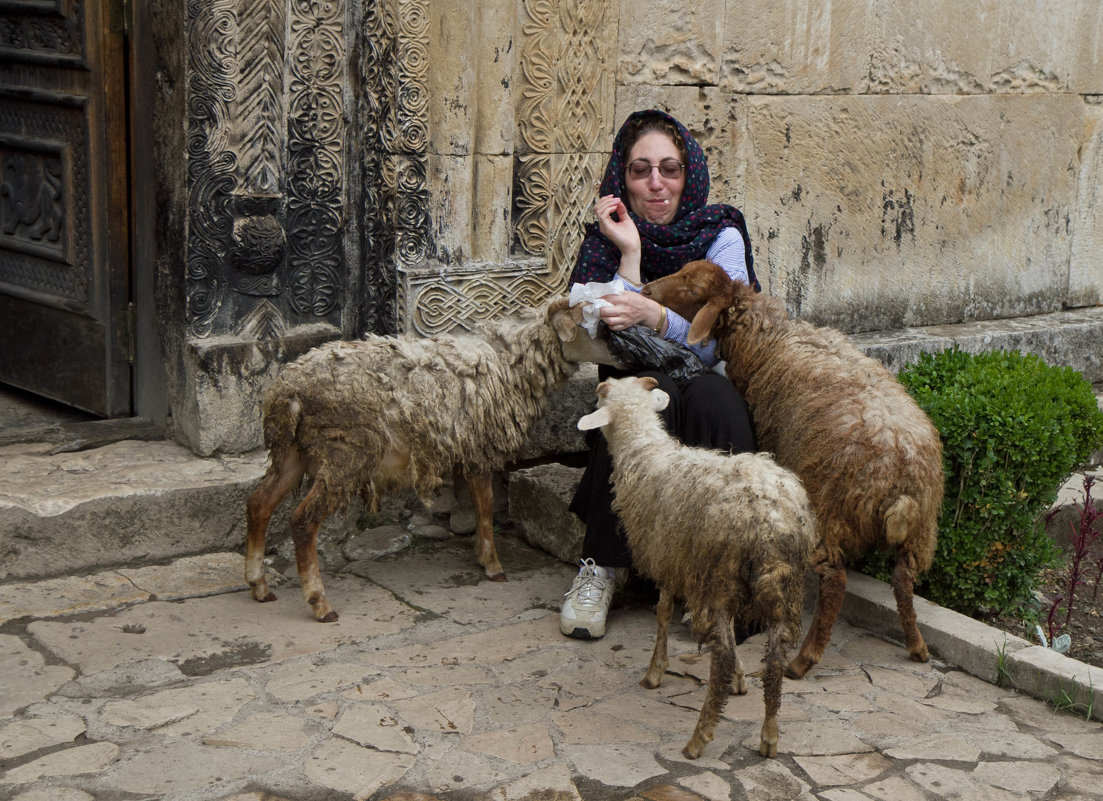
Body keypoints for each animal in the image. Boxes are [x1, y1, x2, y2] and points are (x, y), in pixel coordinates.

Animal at [243, 297, 622, 622]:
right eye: (594, 324)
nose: (625, 353)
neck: (507, 360)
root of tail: (288, 392)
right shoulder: (480, 447)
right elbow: (485, 505)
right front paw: (493, 565)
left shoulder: (469, 448)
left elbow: (478, 505)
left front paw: (481, 555)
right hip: (344, 453)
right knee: (303, 521)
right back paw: (320, 603)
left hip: (296, 452)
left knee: (259, 503)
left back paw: (259, 585)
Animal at [577, 377, 820, 759]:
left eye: (603, 395)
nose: (605, 381)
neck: (645, 453)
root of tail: (769, 520)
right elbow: (732, 633)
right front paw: (741, 680)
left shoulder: (669, 557)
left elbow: (663, 612)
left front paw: (655, 672)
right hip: (783, 585)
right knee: (774, 659)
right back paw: (769, 735)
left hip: (718, 575)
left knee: (721, 656)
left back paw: (699, 738)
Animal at [644, 261, 944, 679]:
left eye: (692, 289)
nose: (645, 290)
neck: (768, 337)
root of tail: (899, 484)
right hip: (921, 531)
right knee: (903, 579)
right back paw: (917, 646)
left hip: (829, 508)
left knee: (835, 582)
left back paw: (803, 661)